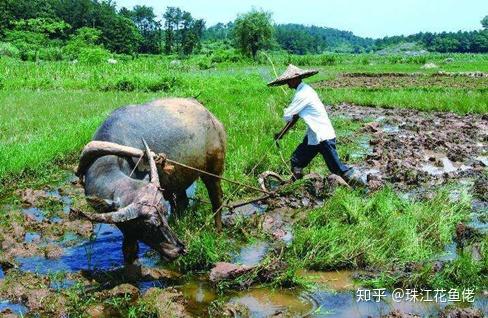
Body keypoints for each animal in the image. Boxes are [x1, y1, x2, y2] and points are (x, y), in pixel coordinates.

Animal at [76, 98, 227, 264]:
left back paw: (218, 230)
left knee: (216, 199)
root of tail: (211, 116)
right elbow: (128, 248)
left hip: (213, 172)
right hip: (176, 182)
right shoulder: (126, 225)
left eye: (164, 214)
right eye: (148, 226)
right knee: (181, 203)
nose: (179, 249)